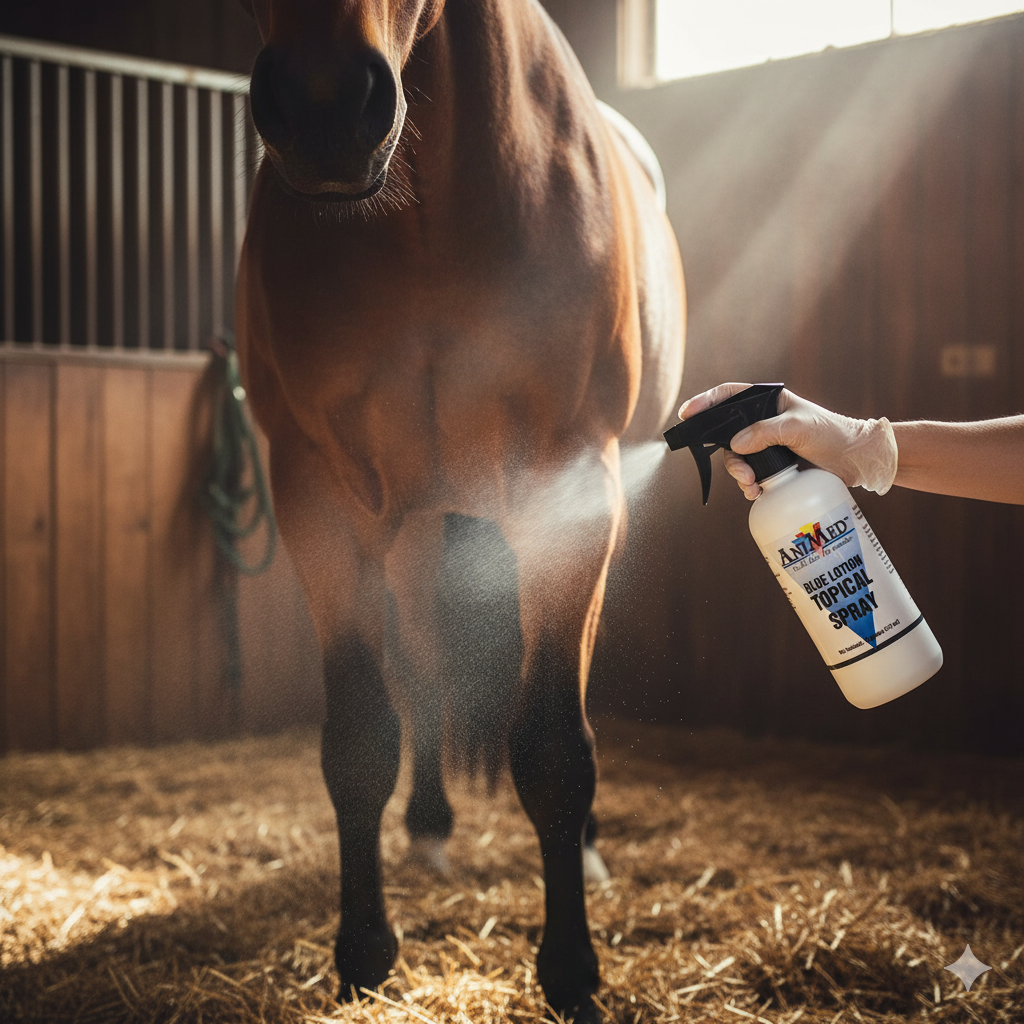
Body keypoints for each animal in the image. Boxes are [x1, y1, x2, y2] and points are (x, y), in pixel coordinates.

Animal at [235, 0, 685, 1019]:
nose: (325, 102)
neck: (425, 220)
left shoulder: (570, 490)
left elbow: (554, 747)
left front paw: (570, 973)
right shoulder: (318, 499)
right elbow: (361, 738)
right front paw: (364, 952)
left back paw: (583, 853)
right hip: (412, 528)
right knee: (428, 667)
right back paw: (431, 825)